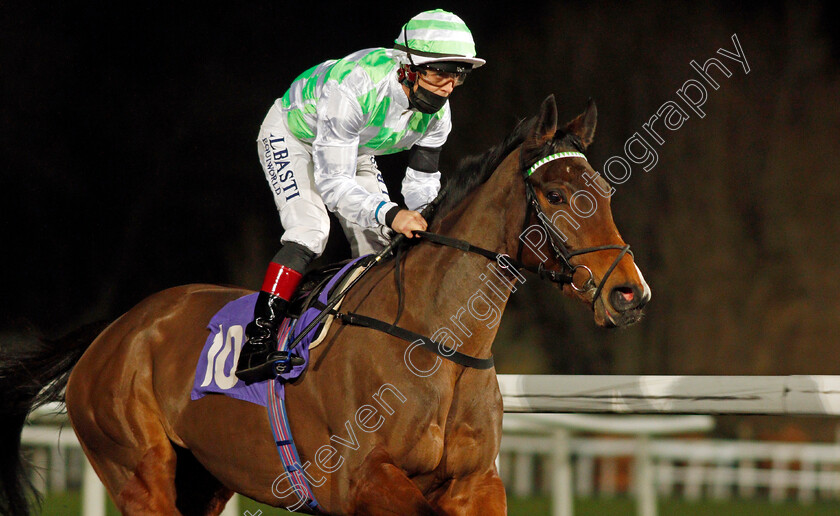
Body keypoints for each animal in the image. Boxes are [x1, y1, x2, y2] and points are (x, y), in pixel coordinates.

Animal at [0, 94, 648, 512]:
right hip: (138, 472)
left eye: (606, 192)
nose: (630, 294)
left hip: (203, 479)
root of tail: (115, 330)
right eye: (557, 194)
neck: (438, 343)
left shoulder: (475, 484)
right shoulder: (361, 479)